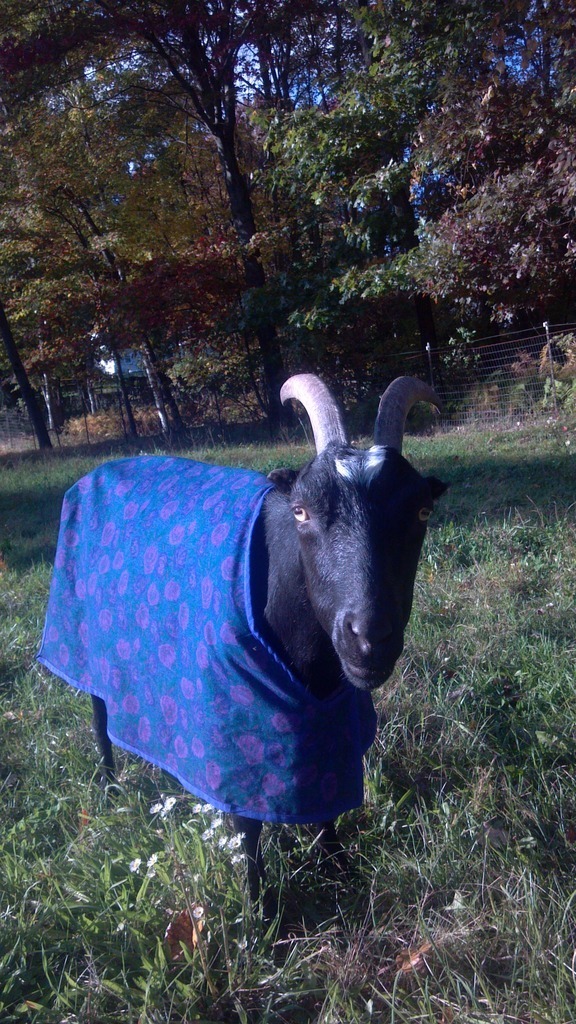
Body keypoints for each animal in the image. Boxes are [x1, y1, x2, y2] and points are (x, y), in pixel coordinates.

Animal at [38, 374, 446, 911]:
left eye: (421, 510)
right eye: (301, 511)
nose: (370, 637)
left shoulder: (324, 726)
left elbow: (326, 801)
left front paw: (339, 871)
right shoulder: (232, 739)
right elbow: (247, 828)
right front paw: (259, 913)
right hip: (84, 641)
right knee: (100, 715)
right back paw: (109, 790)